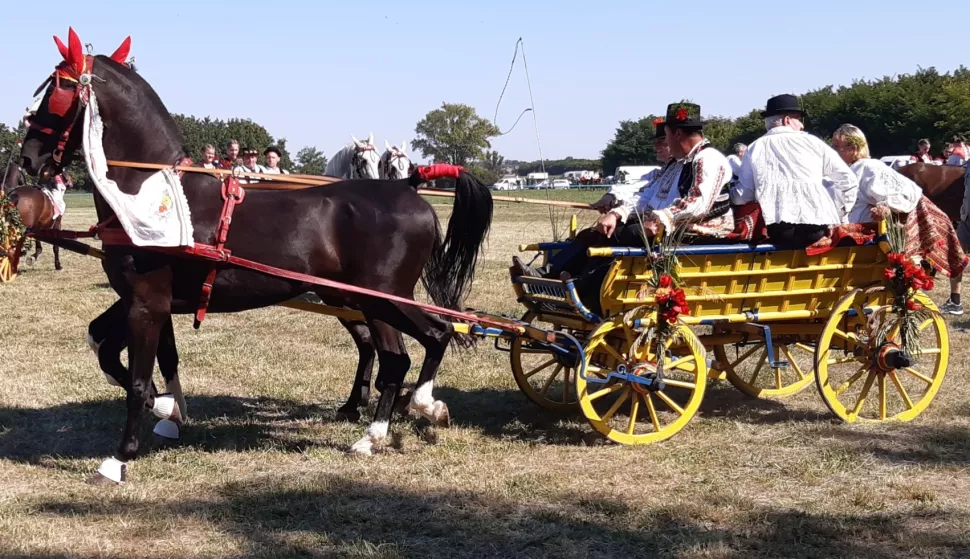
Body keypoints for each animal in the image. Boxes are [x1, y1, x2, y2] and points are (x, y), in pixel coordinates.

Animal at [17, 30, 492, 484]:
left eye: (56, 91)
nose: (28, 158)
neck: (151, 195)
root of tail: (409, 187)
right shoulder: (143, 300)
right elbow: (105, 345)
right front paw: (167, 407)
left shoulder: (147, 302)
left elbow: (135, 380)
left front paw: (120, 459)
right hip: (371, 302)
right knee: (404, 352)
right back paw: (381, 430)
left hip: (382, 298)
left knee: (429, 338)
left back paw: (415, 410)